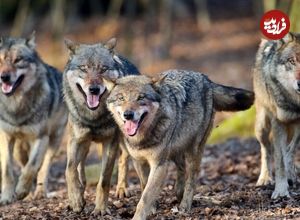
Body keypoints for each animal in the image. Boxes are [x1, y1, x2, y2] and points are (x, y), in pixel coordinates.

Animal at [254, 31, 300, 199]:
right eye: (291, 61)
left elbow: (290, 151)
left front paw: (290, 173)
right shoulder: (278, 122)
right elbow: (279, 158)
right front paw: (280, 190)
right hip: (262, 126)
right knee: (266, 149)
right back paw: (265, 178)